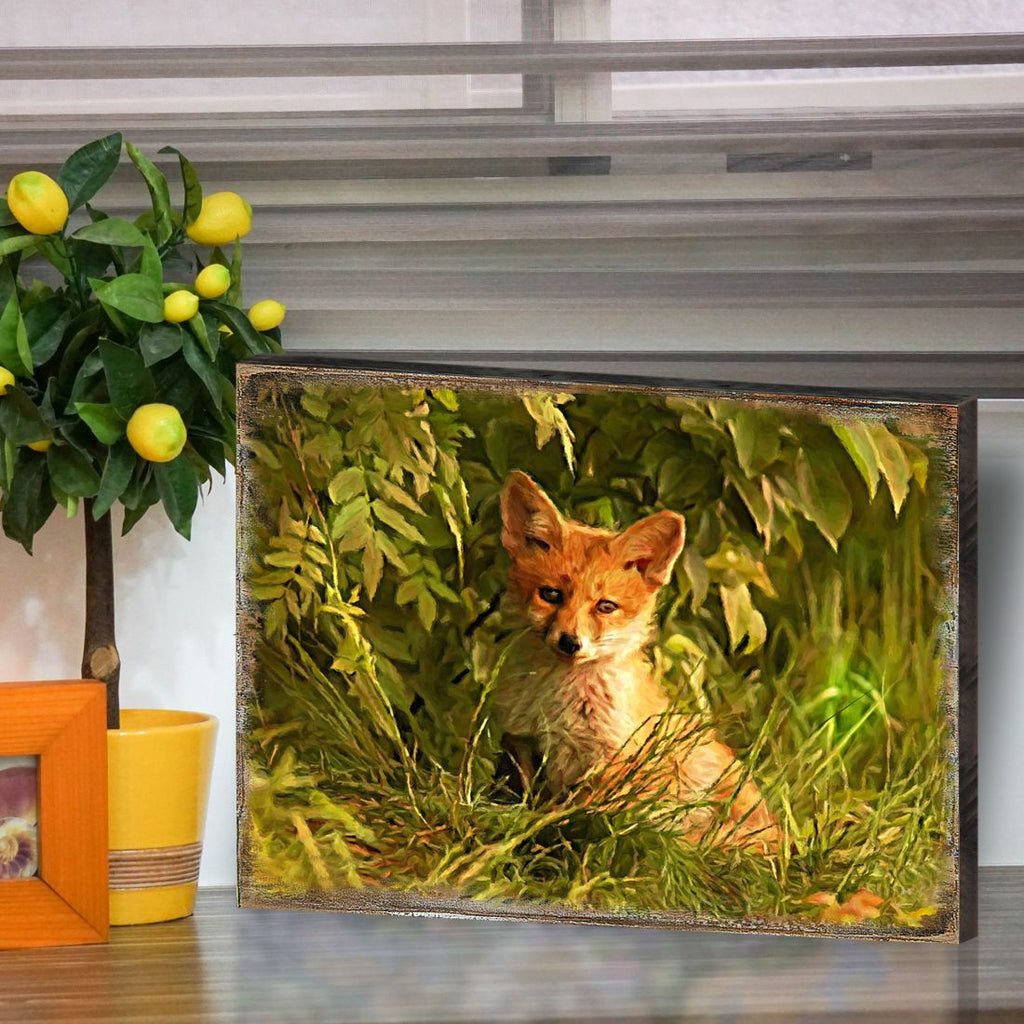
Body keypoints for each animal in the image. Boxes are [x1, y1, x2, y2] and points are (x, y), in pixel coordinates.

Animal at [495, 470, 779, 853]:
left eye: (605, 606)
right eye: (551, 594)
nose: (570, 642)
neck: (557, 704)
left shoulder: (613, 759)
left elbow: (579, 815)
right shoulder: (522, 741)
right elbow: (527, 800)